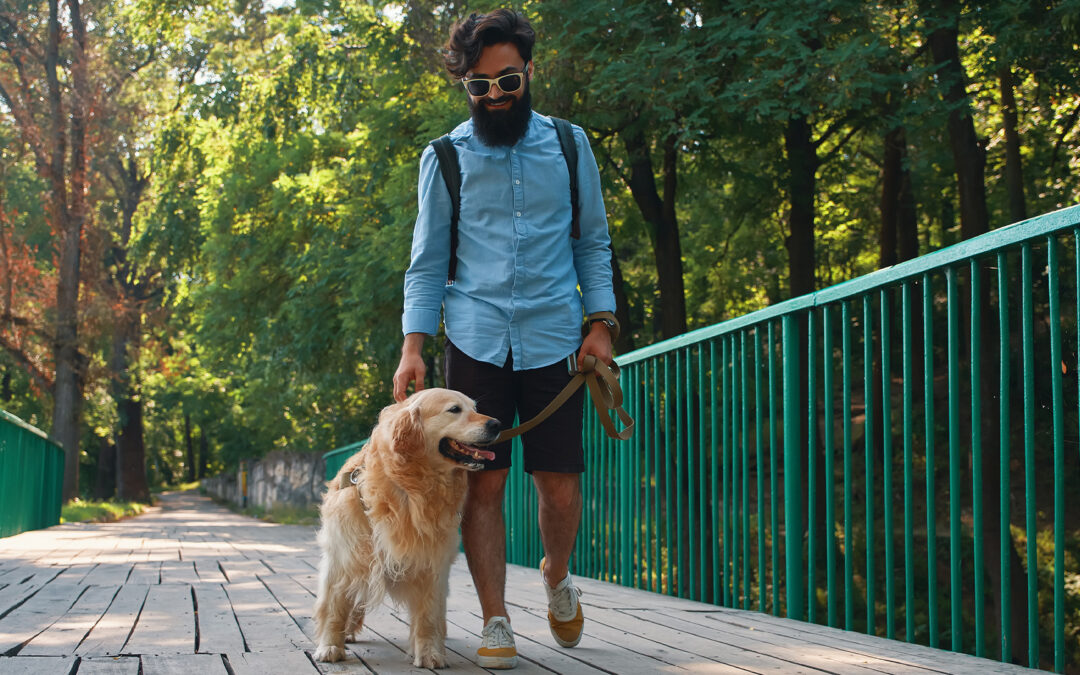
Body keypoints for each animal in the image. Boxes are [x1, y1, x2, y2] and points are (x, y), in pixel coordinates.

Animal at [311, 386, 498, 665]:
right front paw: (330, 645)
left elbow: (428, 614)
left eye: (475, 408)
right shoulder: (344, 557)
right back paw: (347, 633)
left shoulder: (432, 561)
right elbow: (334, 606)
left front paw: (430, 652)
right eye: (454, 409)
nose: (496, 424)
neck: (411, 489)